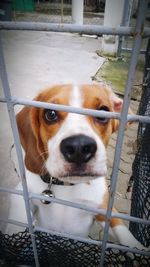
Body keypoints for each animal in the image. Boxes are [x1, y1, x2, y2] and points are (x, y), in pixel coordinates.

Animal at [5, 84, 146, 251]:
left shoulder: (104, 208)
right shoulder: (22, 193)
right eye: (50, 114)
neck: (67, 187)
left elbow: (123, 231)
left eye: (103, 112)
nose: (78, 147)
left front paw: (139, 249)